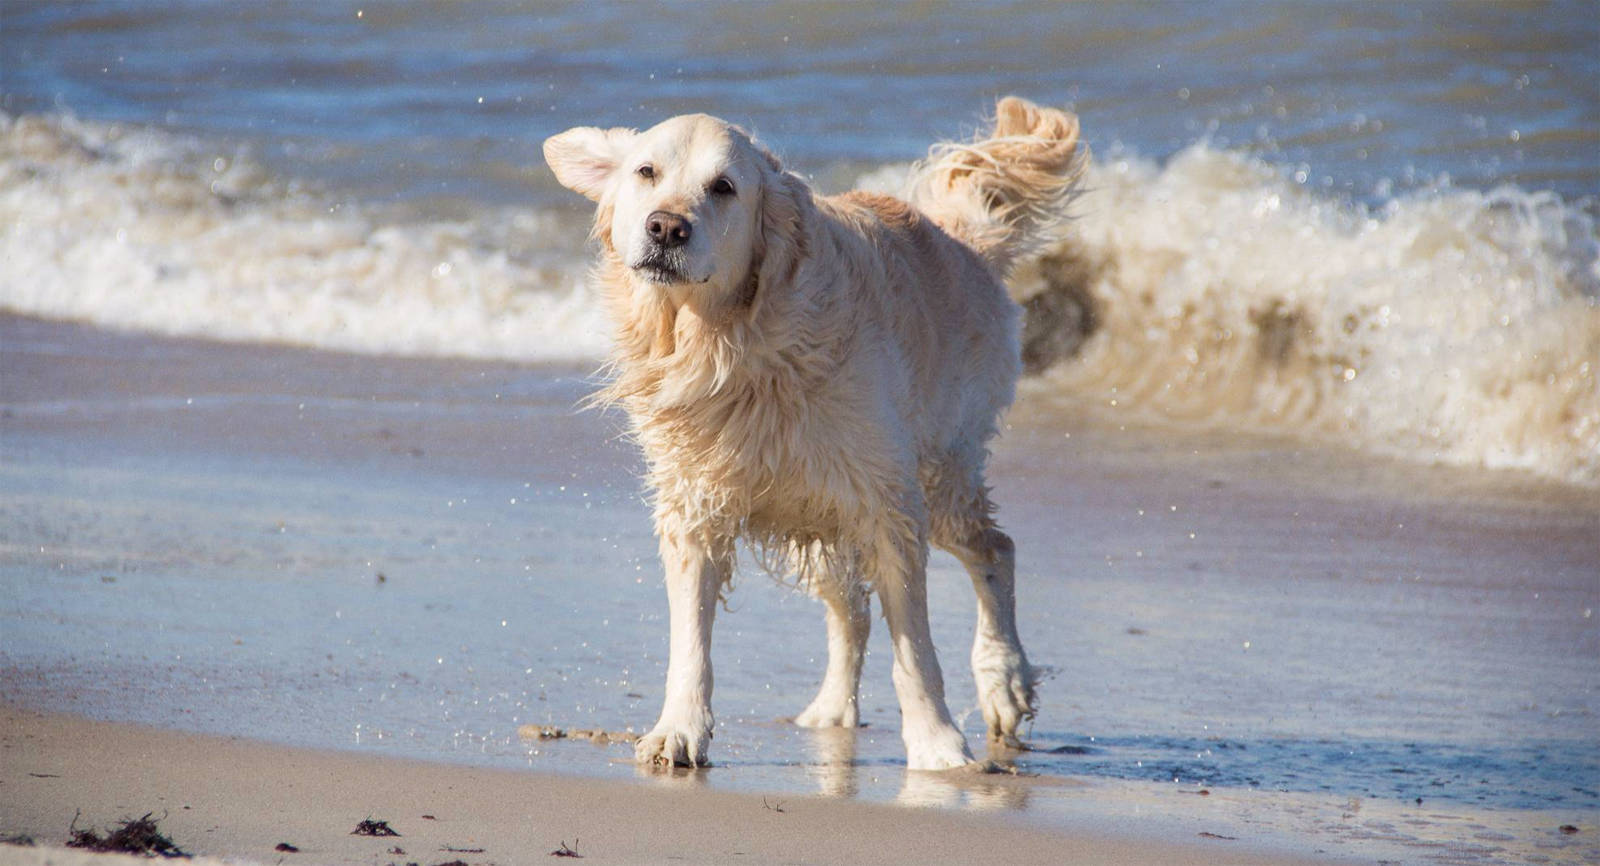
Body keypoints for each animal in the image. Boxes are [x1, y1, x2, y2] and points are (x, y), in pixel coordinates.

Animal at [543, 96, 1084, 770]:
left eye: (724, 187)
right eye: (646, 172)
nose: (666, 228)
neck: (730, 341)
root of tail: (962, 239)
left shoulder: (888, 505)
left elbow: (915, 651)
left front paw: (937, 745)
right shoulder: (695, 504)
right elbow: (691, 641)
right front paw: (678, 730)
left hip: (939, 475)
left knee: (994, 550)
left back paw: (1003, 680)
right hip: (819, 508)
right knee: (852, 611)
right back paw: (830, 712)